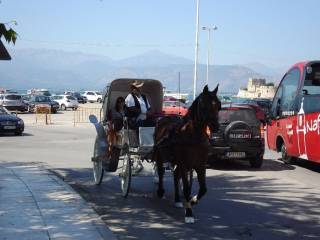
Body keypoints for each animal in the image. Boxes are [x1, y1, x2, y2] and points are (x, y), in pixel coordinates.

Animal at [152, 84, 220, 223]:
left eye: (218, 105)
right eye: (204, 105)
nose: (216, 126)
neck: (193, 136)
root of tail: (164, 118)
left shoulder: (200, 165)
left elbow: (203, 189)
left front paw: (193, 201)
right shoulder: (184, 164)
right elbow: (187, 188)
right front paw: (189, 212)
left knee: (175, 176)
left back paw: (178, 199)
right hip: (160, 155)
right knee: (161, 172)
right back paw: (161, 191)